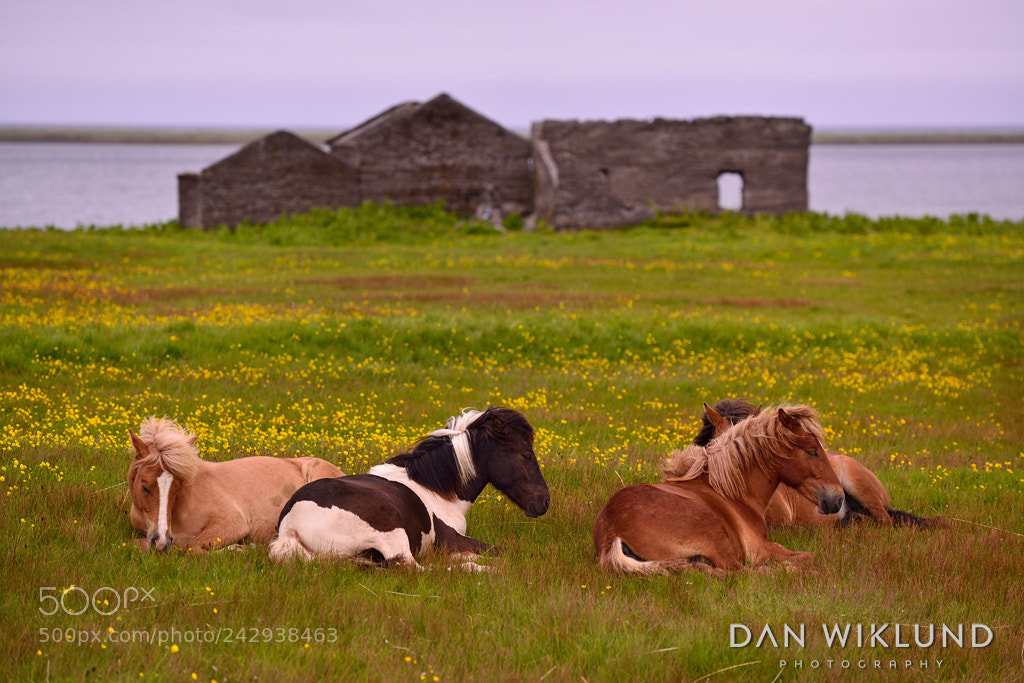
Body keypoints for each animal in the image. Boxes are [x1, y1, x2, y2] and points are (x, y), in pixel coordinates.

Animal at [128, 417, 343, 551]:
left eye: (177, 488)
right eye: (145, 487)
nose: (162, 542)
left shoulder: (233, 522)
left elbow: (193, 547)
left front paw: (240, 549)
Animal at [269, 407, 550, 569]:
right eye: (526, 455)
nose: (544, 502)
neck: (436, 492)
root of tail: (290, 526)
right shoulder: (451, 540)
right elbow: (504, 552)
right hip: (393, 536)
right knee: (414, 567)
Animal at [593, 404, 844, 575]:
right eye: (812, 451)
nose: (838, 499)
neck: (730, 492)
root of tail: (612, 533)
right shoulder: (760, 549)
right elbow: (808, 556)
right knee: (740, 573)